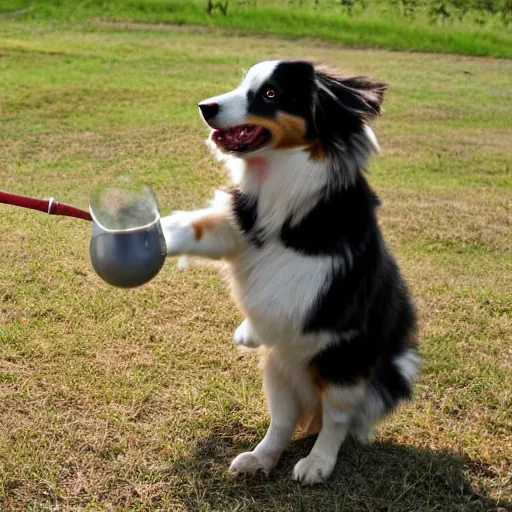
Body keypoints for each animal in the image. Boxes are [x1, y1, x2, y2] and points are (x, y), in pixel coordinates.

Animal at [161, 60, 420, 484]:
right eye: (244, 84)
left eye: (270, 94)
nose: (205, 106)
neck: (280, 174)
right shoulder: (241, 224)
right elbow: (197, 228)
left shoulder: (319, 275)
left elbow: (281, 296)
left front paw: (253, 326)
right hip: (278, 370)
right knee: (282, 420)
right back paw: (260, 458)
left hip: (343, 372)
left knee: (334, 420)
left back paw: (317, 463)